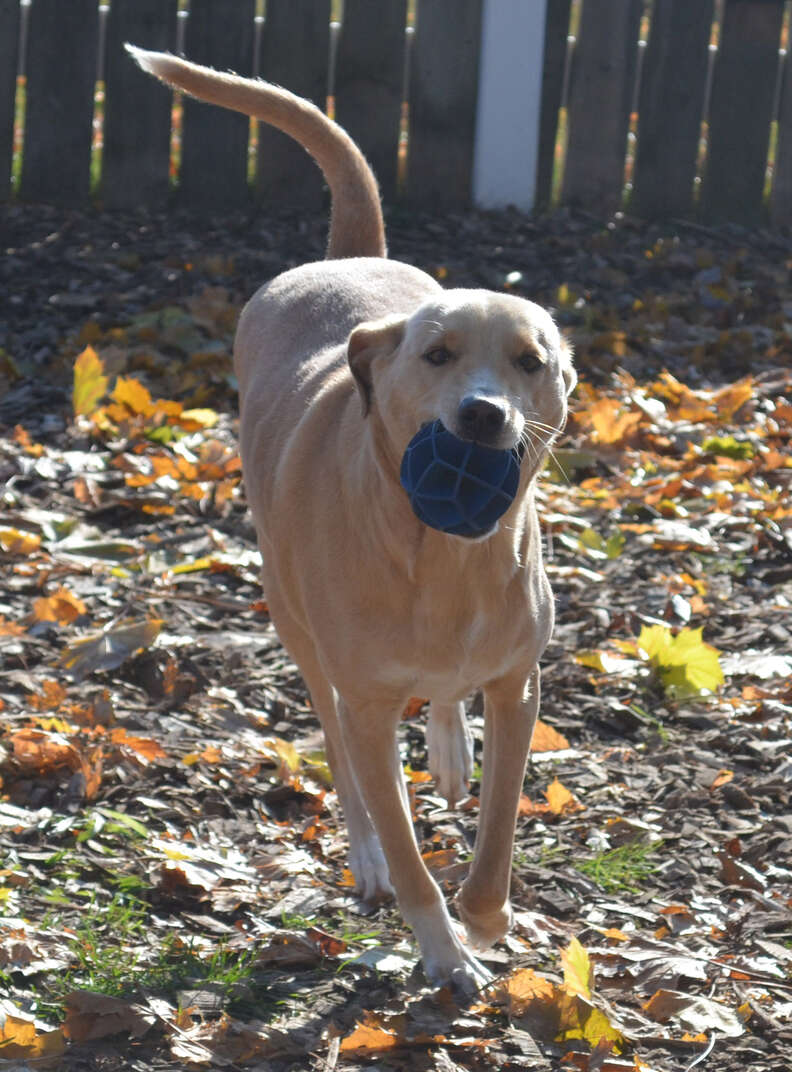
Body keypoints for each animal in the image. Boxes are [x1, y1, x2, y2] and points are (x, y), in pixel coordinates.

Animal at [128, 41, 574, 994]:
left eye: (531, 361)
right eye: (438, 355)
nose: (483, 414)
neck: (443, 556)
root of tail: (347, 258)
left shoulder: (519, 684)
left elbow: (498, 831)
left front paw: (485, 920)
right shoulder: (367, 700)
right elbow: (402, 840)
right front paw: (441, 949)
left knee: (442, 711)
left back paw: (449, 751)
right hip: (296, 623)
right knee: (339, 746)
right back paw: (368, 854)